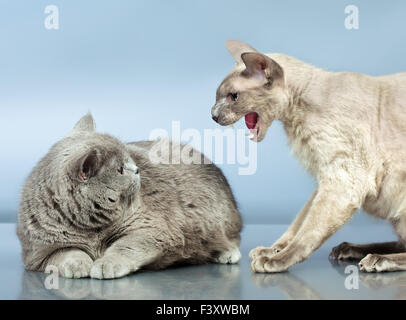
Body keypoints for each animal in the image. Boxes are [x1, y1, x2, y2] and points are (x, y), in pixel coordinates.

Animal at [17, 114, 241, 278]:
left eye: (129, 159)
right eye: (120, 169)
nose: (137, 169)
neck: (89, 227)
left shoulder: (153, 230)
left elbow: (126, 246)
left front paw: (106, 264)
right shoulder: (38, 253)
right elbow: (66, 252)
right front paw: (77, 264)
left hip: (219, 217)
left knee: (231, 237)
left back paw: (226, 252)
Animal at [211, 40, 406, 274]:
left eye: (233, 96)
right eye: (217, 97)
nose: (213, 115)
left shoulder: (342, 183)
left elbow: (307, 233)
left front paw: (276, 259)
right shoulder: (323, 180)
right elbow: (299, 223)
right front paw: (272, 250)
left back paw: (375, 259)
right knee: (401, 242)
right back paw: (350, 248)